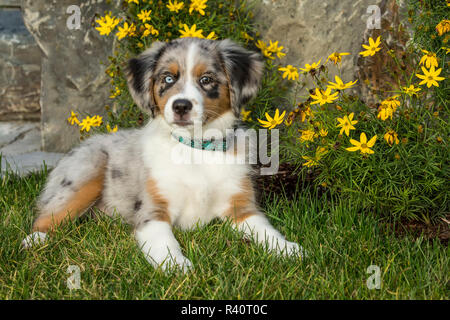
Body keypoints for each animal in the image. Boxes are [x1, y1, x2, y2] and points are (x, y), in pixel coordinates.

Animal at [21, 38, 304, 272]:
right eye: (168, 79)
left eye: (206, 80)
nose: (181, 106)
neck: (195, 148)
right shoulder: (152, 210)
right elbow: (164, 241)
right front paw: (175, 265)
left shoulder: (241, 206)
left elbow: (266, 229)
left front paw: (287, 249)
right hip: (86, 171)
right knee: (48, 214)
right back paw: (34, 240)